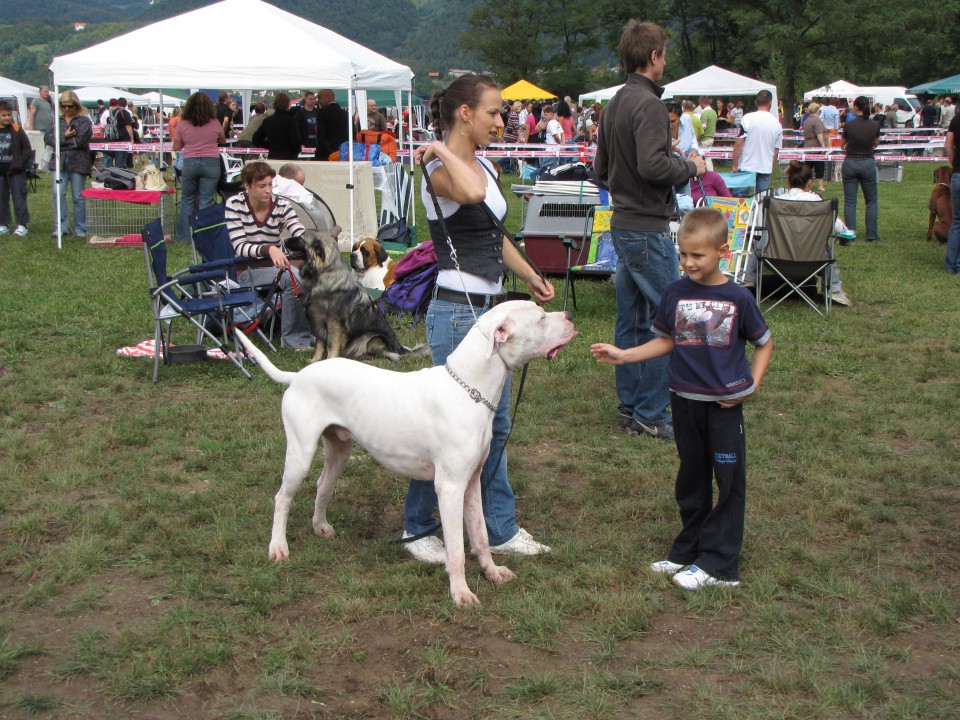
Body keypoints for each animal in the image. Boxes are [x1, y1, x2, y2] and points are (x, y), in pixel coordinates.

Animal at [234, 300, 576, 608]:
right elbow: (456, 549)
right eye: (541, 317)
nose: (570, 315)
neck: (469, 389)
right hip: (300, 454)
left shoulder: (472, 483)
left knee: (322, 486)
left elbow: (479, 535)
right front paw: (460, 593)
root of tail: (299, 375)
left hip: (339, 451)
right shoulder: (449, 488)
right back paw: (278, 547)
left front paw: (492, 572)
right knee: (282, 498)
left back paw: (321, 527)